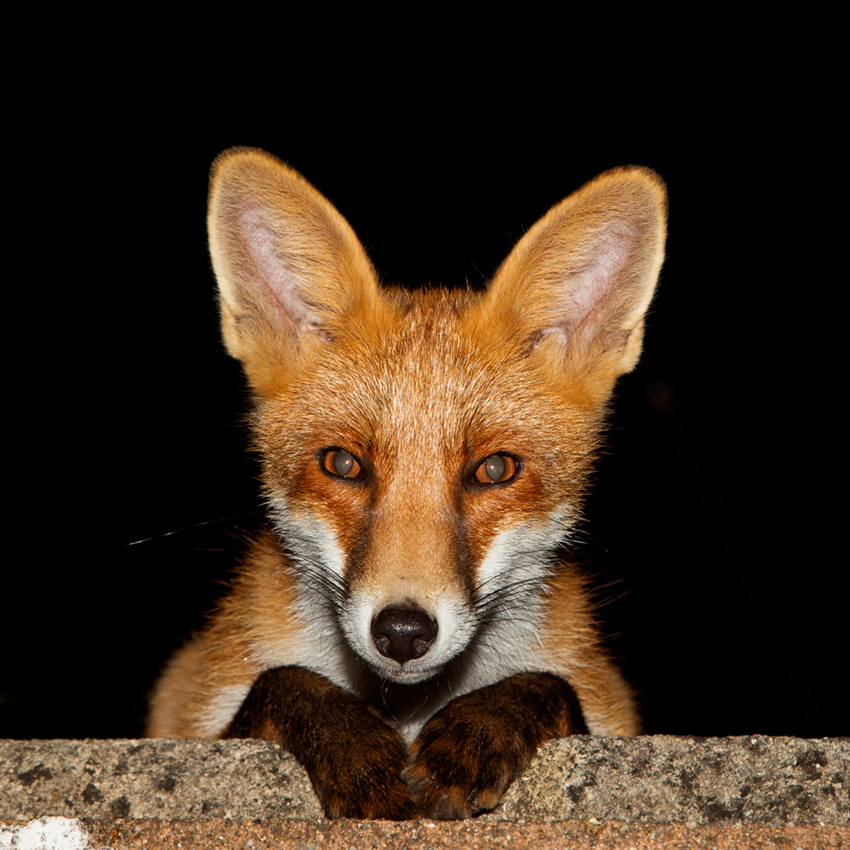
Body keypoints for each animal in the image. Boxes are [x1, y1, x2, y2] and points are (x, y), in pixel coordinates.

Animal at [146, 147, 667, 820]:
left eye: (494, 470)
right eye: (343, 464)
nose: (401, 632)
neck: (409, 708)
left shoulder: (598, 700)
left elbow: (549, 686)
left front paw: (481, 729)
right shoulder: (198, 708)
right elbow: (281, 681)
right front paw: (352, 746)